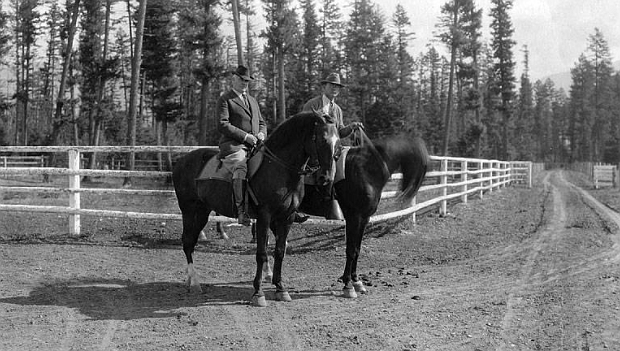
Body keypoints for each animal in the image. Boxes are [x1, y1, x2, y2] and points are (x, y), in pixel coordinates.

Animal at [171, 112, 340, 308]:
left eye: (338, 141)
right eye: (321, 139)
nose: (326, 177)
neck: (280, 168)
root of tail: (182, 160)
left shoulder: (286, 218)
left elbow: (279, 251)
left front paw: (280, 288)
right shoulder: (265, 216)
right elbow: (261, 253)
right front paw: (258, 293)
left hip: (202, 211)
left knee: (190, 242)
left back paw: (190, 280)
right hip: (190, 211)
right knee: (188, 243)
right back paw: (195, 283)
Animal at [298, 132, 428, 300]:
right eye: (417, 162)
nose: (407, 192)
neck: (367, 168)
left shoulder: (364, 218)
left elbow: (357, 249)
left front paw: (356, 281)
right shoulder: (354, 217)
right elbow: (351, 250)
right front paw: (348, 285)